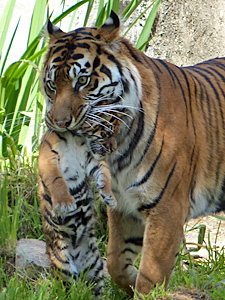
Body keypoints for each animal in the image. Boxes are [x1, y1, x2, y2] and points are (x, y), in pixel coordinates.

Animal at [39, 11, 225, 296]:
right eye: (51, 85)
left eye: (82, 81)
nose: (59, 123)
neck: (120, 150)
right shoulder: (124, 207)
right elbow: (115, 263)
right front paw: (130, 283)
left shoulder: (166, 208)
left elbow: (151, 276)